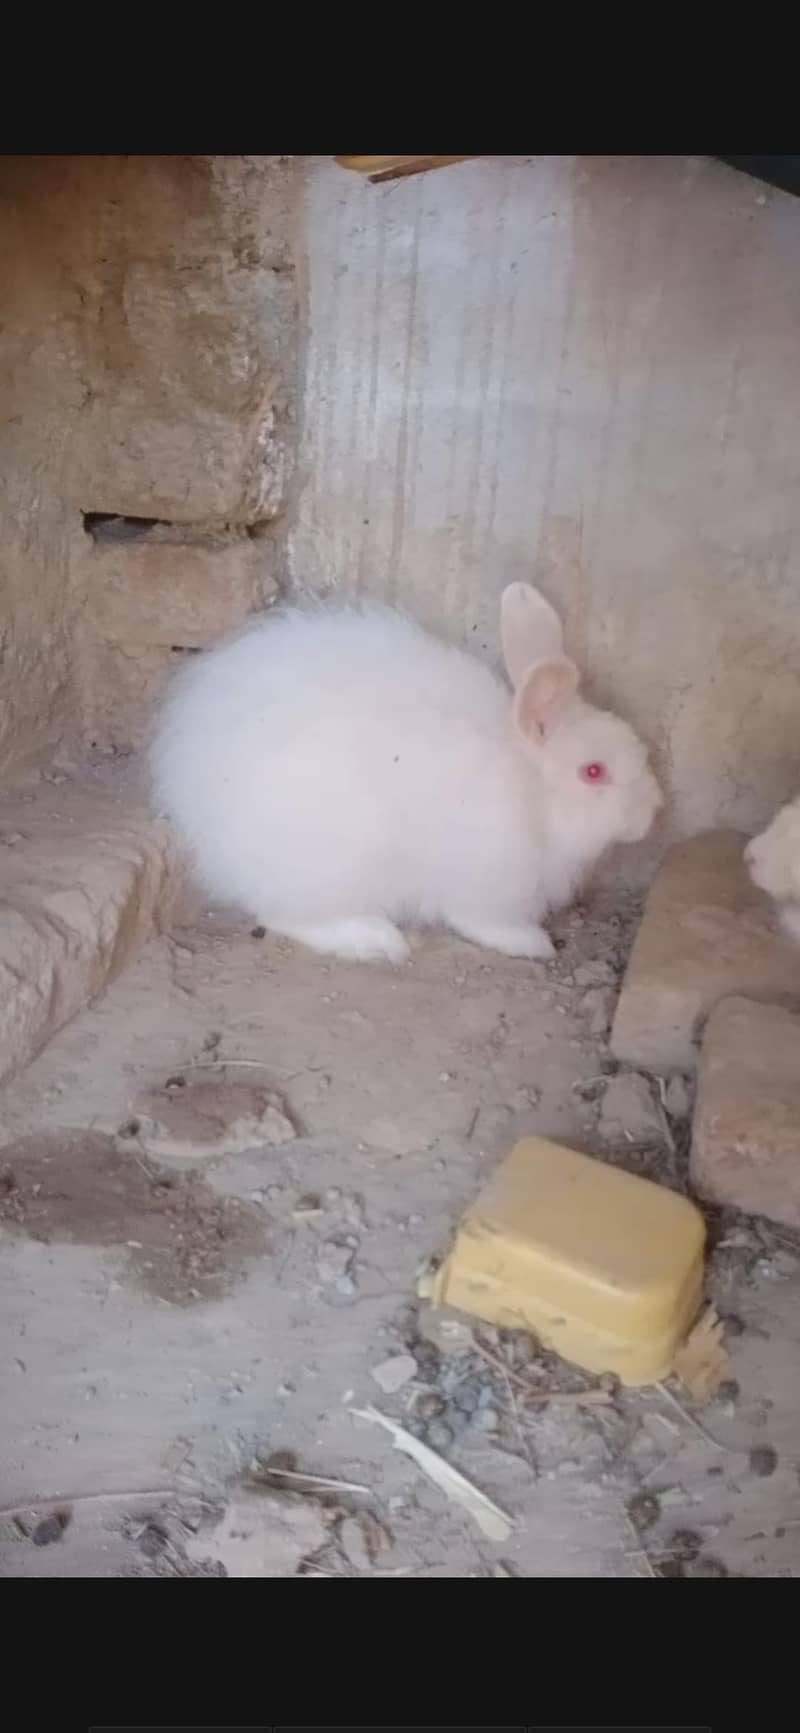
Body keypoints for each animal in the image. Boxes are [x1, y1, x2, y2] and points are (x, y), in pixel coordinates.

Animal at [150, 582, 663, 963]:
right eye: (593, 772)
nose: (653, 811)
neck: (533, 791)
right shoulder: (485, 885)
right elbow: (485, 923)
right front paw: (532, 945)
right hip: (334, 863)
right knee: (285, 914)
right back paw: (374, 940)